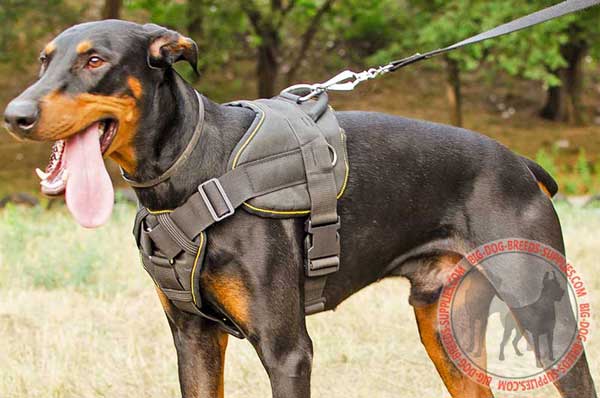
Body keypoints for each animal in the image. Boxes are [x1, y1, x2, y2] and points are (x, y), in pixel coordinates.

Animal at [2, 21, 596, 398]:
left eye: (95, 60)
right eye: (44, 60)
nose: (15, 115)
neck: (196, 167)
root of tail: (521, 163)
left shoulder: (287, 351)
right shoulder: (193, 336)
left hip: (544, 315)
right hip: (443, 327)